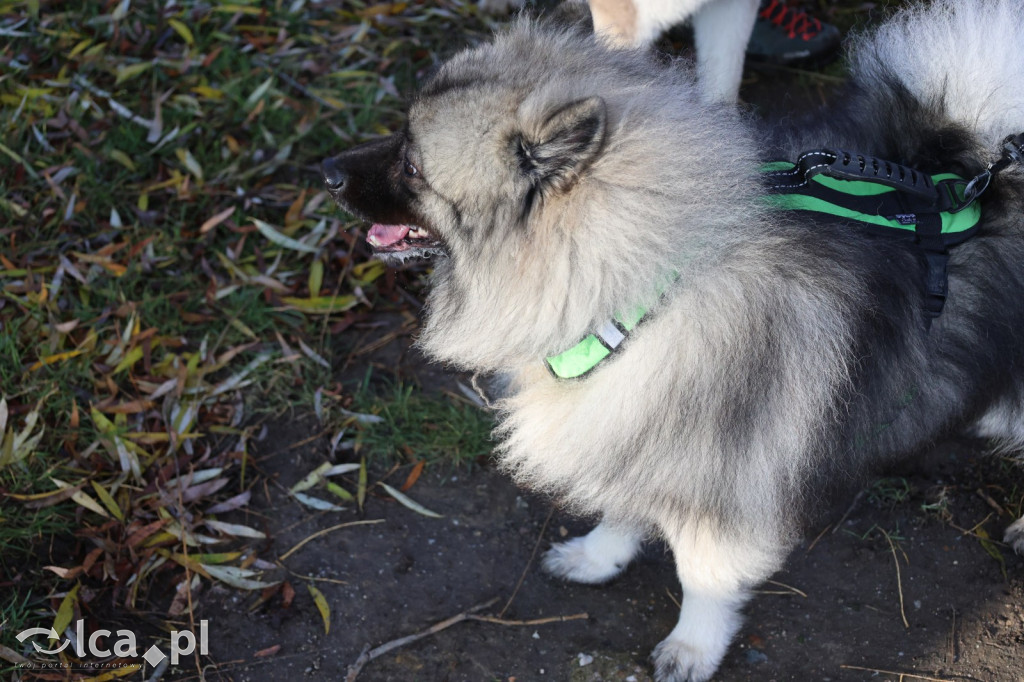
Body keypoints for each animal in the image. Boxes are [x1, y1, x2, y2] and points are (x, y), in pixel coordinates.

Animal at [323, 2, 1024, 675]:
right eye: (399, 133)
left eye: (412, 164)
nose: (326, 169)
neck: (641, 297)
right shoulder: (636, 431)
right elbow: (623, 506)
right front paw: (599, 556)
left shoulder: (721, 479)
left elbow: (703, 573)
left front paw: (693, 647)